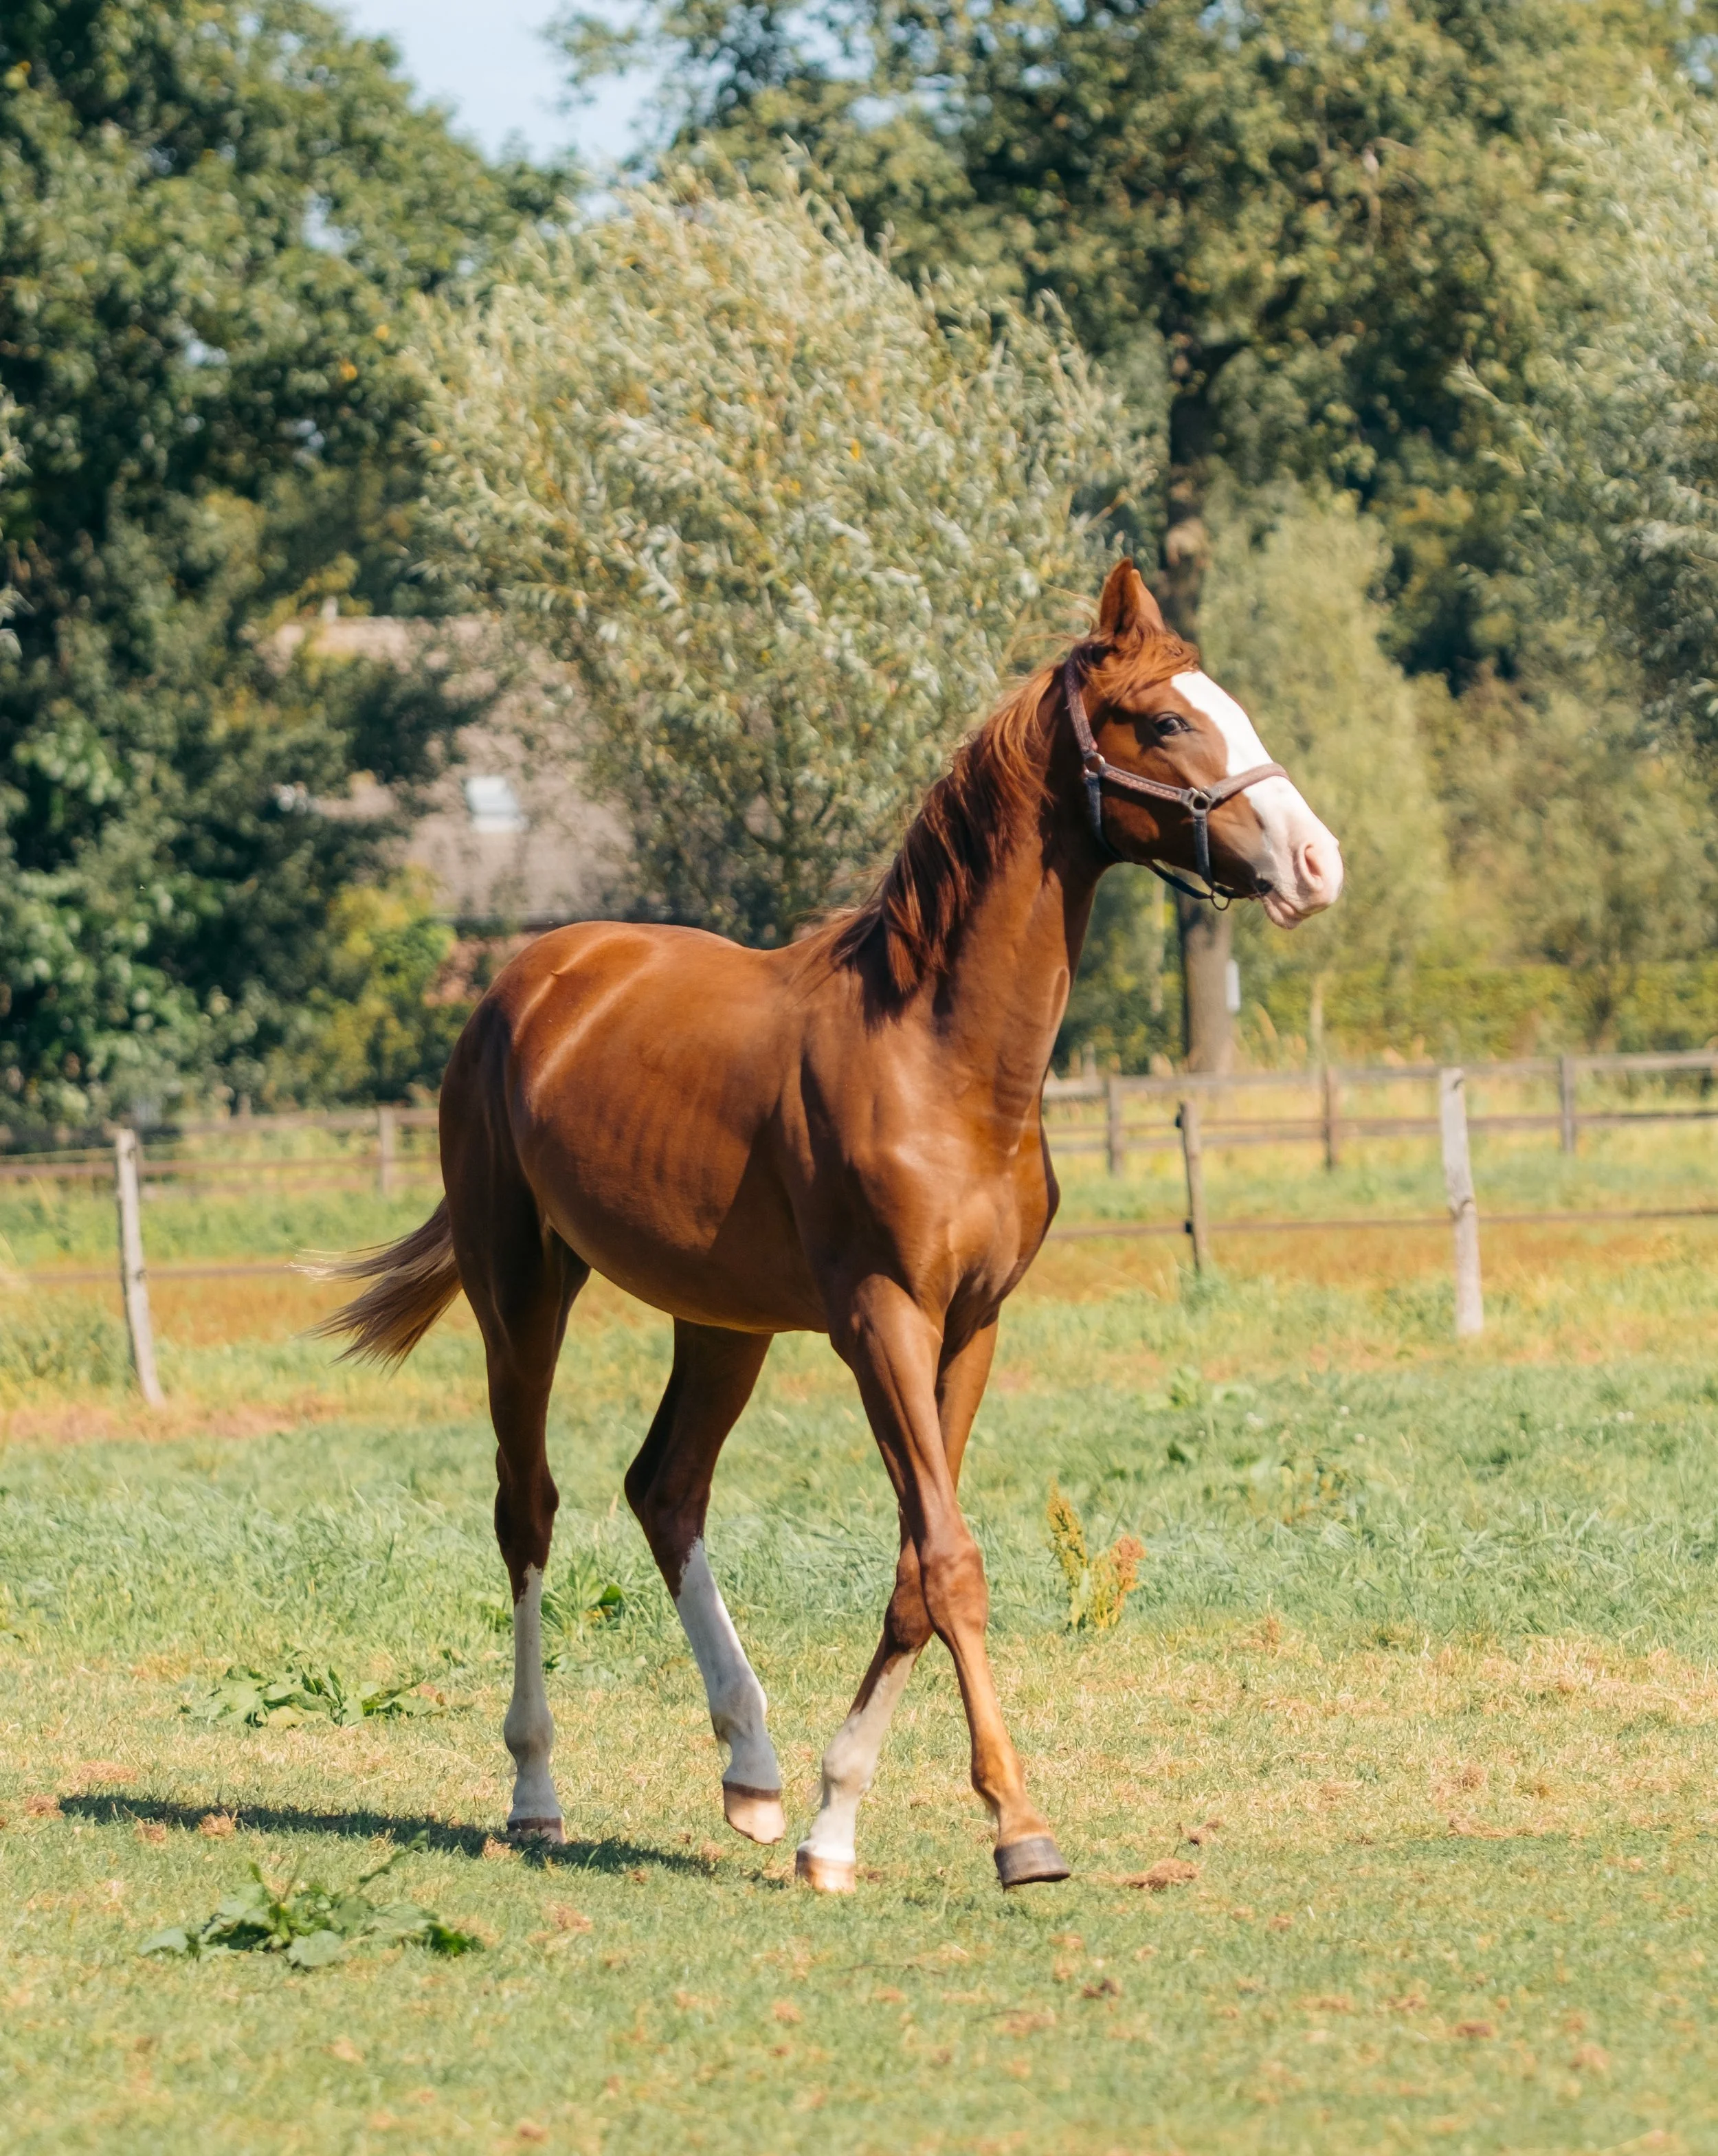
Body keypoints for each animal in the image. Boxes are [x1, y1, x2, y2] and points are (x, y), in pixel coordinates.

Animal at [316, 560, 1343, 1893]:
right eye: (1166, 721)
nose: (1317, 863)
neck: (939, 1058)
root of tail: (524, 980)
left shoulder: (971, 1327)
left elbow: (916, 1568)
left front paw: (830, 1823)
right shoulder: (880, 1321)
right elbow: (951, 1561)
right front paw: (1019, 1830)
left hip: (722, 1322)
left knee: (666, 1490)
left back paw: (749, 1769)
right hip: (523, 1289)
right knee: (527, 1507)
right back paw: (537, 1790)